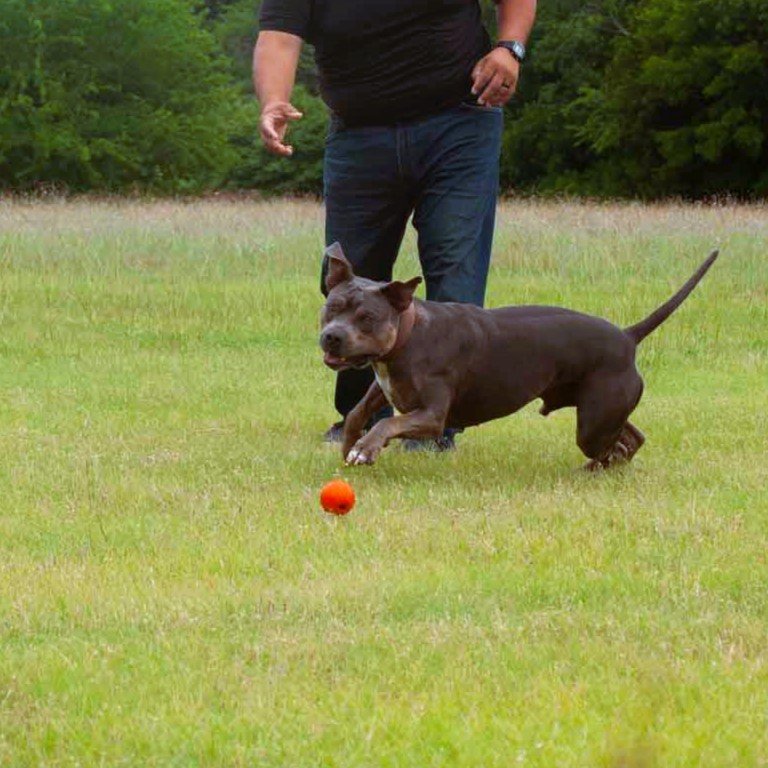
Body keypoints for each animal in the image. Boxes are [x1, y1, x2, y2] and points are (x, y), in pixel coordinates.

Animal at [319, 243, 718, 469]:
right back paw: (603, 468)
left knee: (618, 440)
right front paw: (352, 445)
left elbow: (387, 424)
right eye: (331, 308)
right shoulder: (386, 385)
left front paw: (366, 449)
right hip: (600, 409)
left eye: (367, 318)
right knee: (631, 435)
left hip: (595, 419)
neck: (408, 336)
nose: (331, 337)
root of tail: (627, 336)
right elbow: (358, 412)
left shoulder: (432, 415)